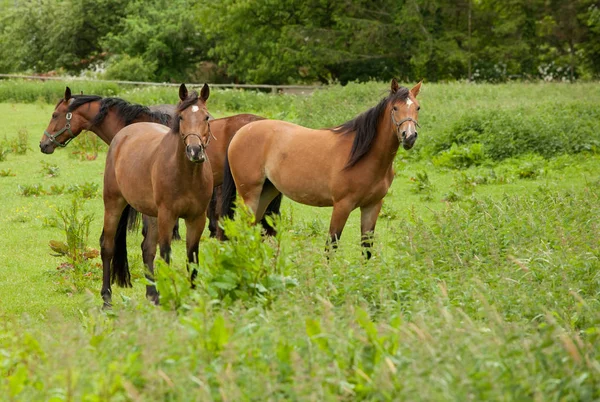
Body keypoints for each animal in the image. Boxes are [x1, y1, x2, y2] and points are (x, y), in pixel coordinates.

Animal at [102, 83, 214, 306]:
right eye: (181, 117)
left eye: (206, 117)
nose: (194, 151)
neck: (187, 176)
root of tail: (122, 136)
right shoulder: (167, 216)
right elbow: (166, 254)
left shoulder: (197, 218)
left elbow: (192, 257)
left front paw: (192, 296)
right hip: (113, 204)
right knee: (107, 246)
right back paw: (106, 298)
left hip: (151, 213)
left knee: (147, 249)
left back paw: (152, 294)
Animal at [220, 79, 422, 258]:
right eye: (395, 108)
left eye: (417, 107)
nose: (409, 136)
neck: (363, 155)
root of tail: (241, 131)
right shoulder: (342, 206)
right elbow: (331, 246)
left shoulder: (372, 206)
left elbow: (366, 249)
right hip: (249, 195)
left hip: (267, 192)